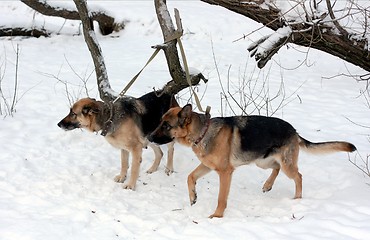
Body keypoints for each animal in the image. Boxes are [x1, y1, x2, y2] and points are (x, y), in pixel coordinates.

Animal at [149, 103, 356, 218]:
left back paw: (297, 199)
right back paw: (267, 185)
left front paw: (217, 216)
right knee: (276, 168)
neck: (203, 132)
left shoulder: (225, 173)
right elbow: (190, 177)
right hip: (262, 162)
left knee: (298, 176)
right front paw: (193, 197)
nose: (149, 138)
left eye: (166, 125)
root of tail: (294, 130)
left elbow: (221, 198)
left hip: (286, 165)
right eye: (160, 122)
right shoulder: (208, 166)